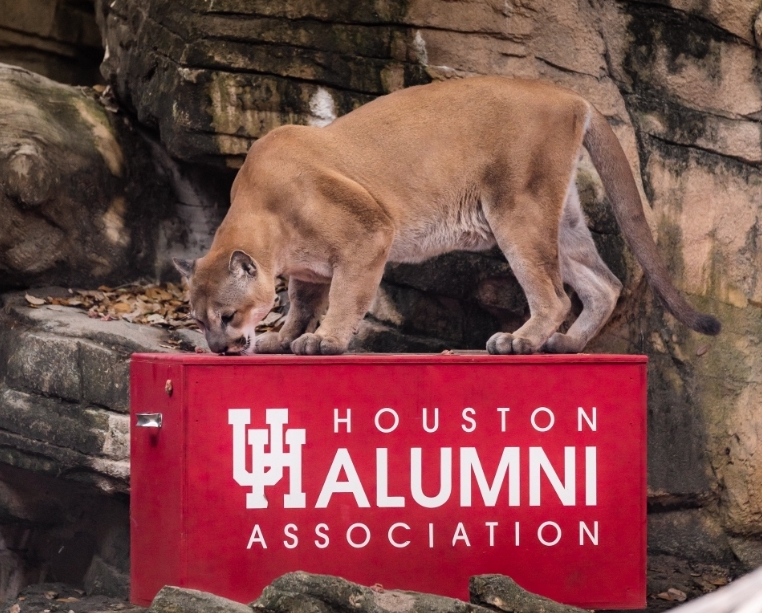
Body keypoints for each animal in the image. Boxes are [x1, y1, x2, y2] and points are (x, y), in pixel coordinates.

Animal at [172, 76, 720, 354]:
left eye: (226, 315)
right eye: (197, 320)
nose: (218, 348)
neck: (264, 210)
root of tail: (573, 95)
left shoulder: (369, 234)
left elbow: (347, 296)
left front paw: (324, 340)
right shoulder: (308, 268)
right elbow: (303, 300)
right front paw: (286, 338)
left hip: (515, 212)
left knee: (554, 294)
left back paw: (520, 340)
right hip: (558, 218)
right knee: (604, 282)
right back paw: (565, 344)